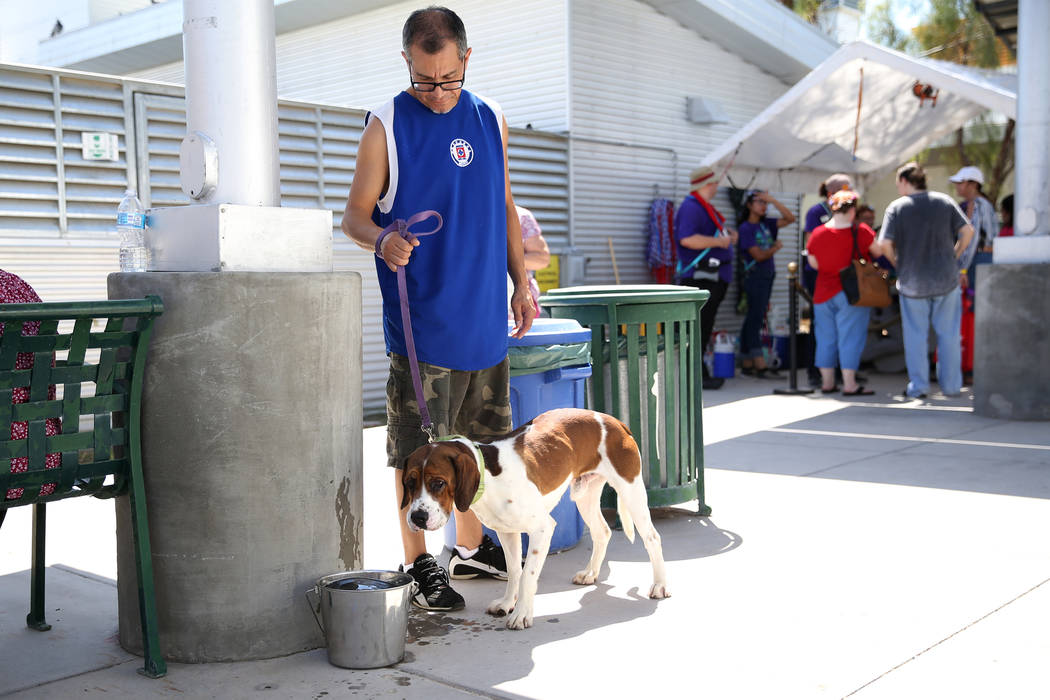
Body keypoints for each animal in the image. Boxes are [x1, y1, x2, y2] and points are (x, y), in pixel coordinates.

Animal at [396, 405, 667, 629]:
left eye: (438, 483)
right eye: (409, 483)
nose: (417, 517)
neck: (490, 477)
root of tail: (613, 421)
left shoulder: (542, 529)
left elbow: (528, 575)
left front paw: (522, 614)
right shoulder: (507, 532)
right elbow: (515, 571)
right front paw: (508, 603)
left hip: (631, 491)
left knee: (653, 537)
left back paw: (660, 585)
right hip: (585, 494)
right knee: (603, 532)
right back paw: (591, 573)